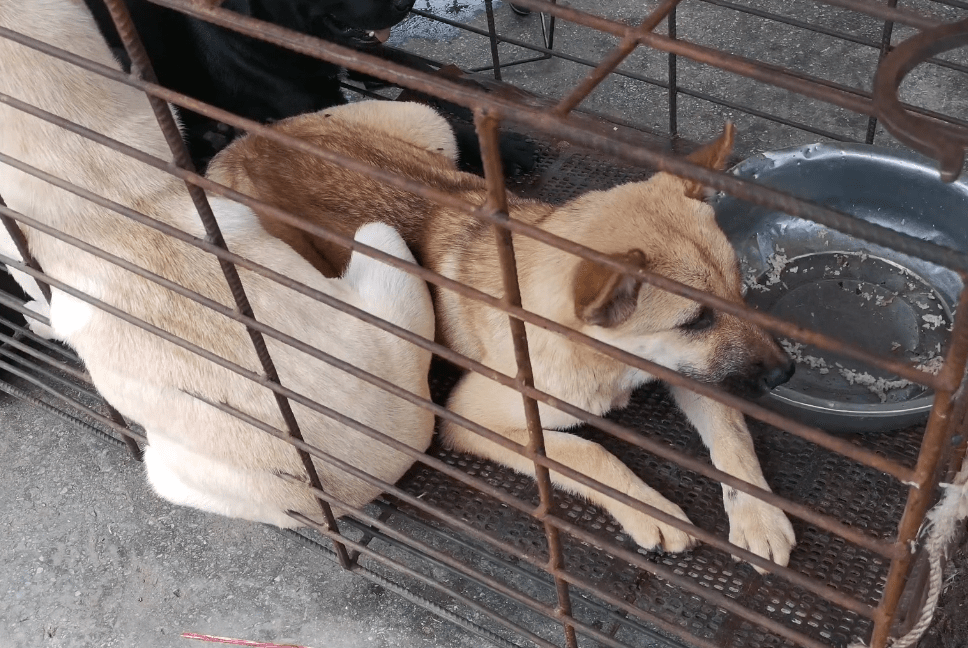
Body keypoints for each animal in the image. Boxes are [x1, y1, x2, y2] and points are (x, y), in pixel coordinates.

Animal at [208, 100, 796, 568]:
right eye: (694, 321)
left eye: (740, 291)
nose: (786, 372)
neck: (601, 358)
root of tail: (246, 140)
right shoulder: (469, 419)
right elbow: (586, 453)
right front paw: (650, 509)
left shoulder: (692, 370)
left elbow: (732, 434)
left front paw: (759, 515)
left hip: (430, 125)